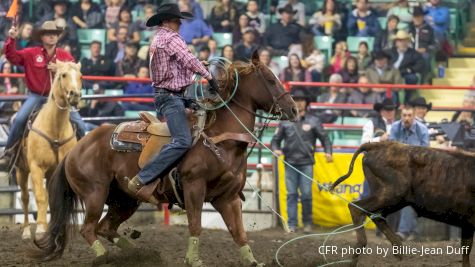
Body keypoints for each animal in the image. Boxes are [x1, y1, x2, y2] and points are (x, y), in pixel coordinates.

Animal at [15, 61, 82, 241]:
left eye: (81, 76)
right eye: (63, 75)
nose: (75, 95)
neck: (55, 129)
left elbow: (53, 197)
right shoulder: (36, 167)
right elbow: (39, 196)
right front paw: (40, 228)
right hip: (21, 170)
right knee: (25, 197)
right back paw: (26, 230)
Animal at [30, 51, 298, 266]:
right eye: (271, 80)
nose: (294, 109)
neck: (221, 139)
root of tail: (76, 148)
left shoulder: (228, 197)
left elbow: (238, 232)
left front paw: (252, 260)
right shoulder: (193, 187)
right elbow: (195, 224)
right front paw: (193, 259)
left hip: (124, 200)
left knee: (105, 227)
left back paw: (137, 255)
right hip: (95, 193)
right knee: (88, 229)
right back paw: (105, 257)